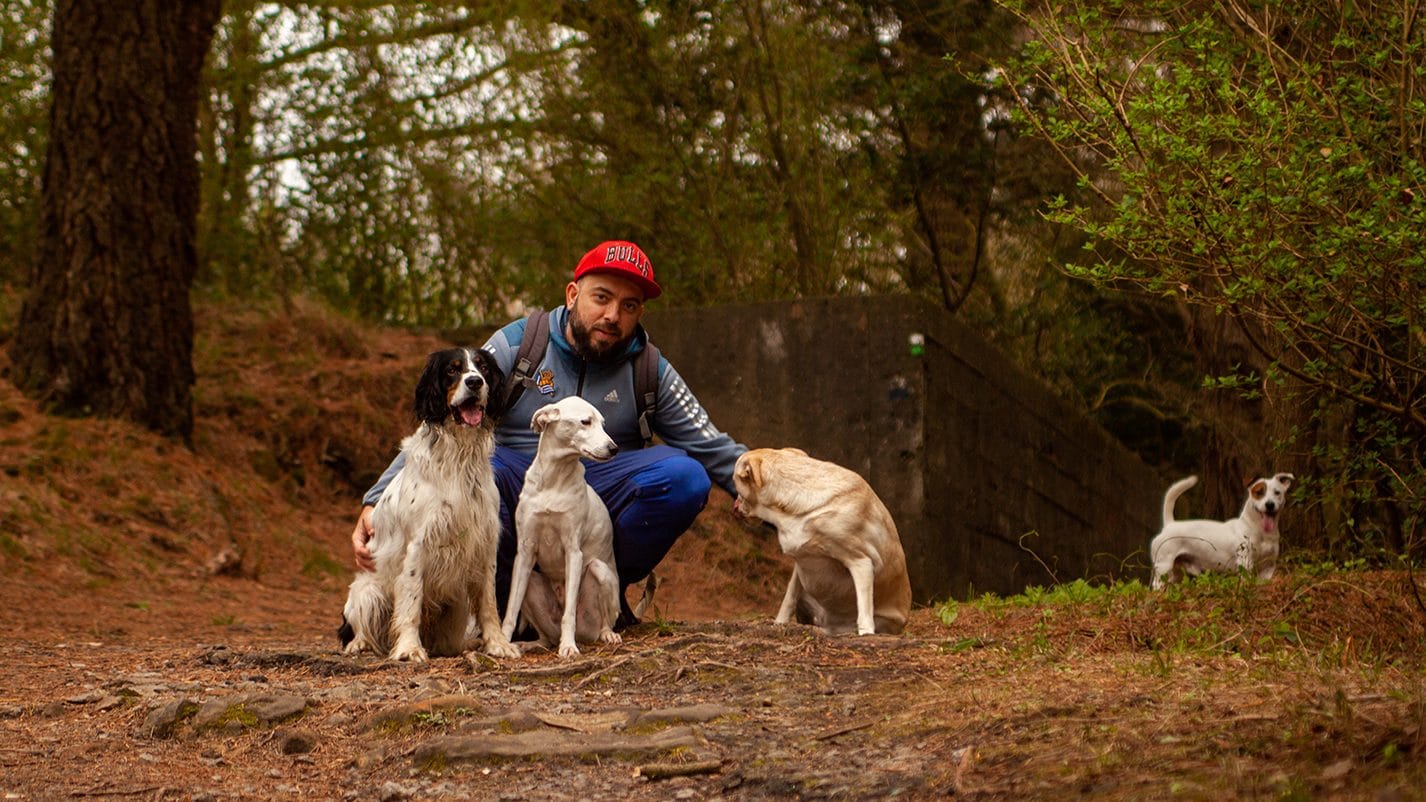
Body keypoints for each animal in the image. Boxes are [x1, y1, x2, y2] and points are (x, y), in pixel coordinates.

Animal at [336, 346, 521, 659]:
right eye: (452, 370)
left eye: (482, 367)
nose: (475, 382)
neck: (459, 454)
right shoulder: (418, 545)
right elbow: (411, 601)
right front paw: (409, 648)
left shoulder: (484, 543)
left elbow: (488, 603)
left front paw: (497, 643)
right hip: (367, 592)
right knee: (361, 625)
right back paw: (359, 644)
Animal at [501, 393, 624, 656]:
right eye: (585, 422)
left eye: (603, 424)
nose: (614, 448)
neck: (553, 480)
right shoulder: (524, 552)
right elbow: (510, 610)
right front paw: (502, 643)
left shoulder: (573, 552)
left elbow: (569, 614)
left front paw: (568, 647)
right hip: (532, 582)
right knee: (545, 638)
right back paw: (529, 643)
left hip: (599, 570)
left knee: (602, 622)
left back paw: (606, 635)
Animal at [735, 445, 912, 633]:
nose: (736, 506)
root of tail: (830, 627)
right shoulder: (800, 563)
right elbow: (788, 599)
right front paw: (779, 624)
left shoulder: (861, 562)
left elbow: (864, 612)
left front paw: (866, 633)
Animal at [1146, 468, 1294, 587]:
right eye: (1259, 492)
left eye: (1277, 492)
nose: (1270, 504)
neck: (1259, 531)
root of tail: (1169, 525)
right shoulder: (1246, 564)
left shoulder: (1268, 568)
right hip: (1164, 566)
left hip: (1175, 573)